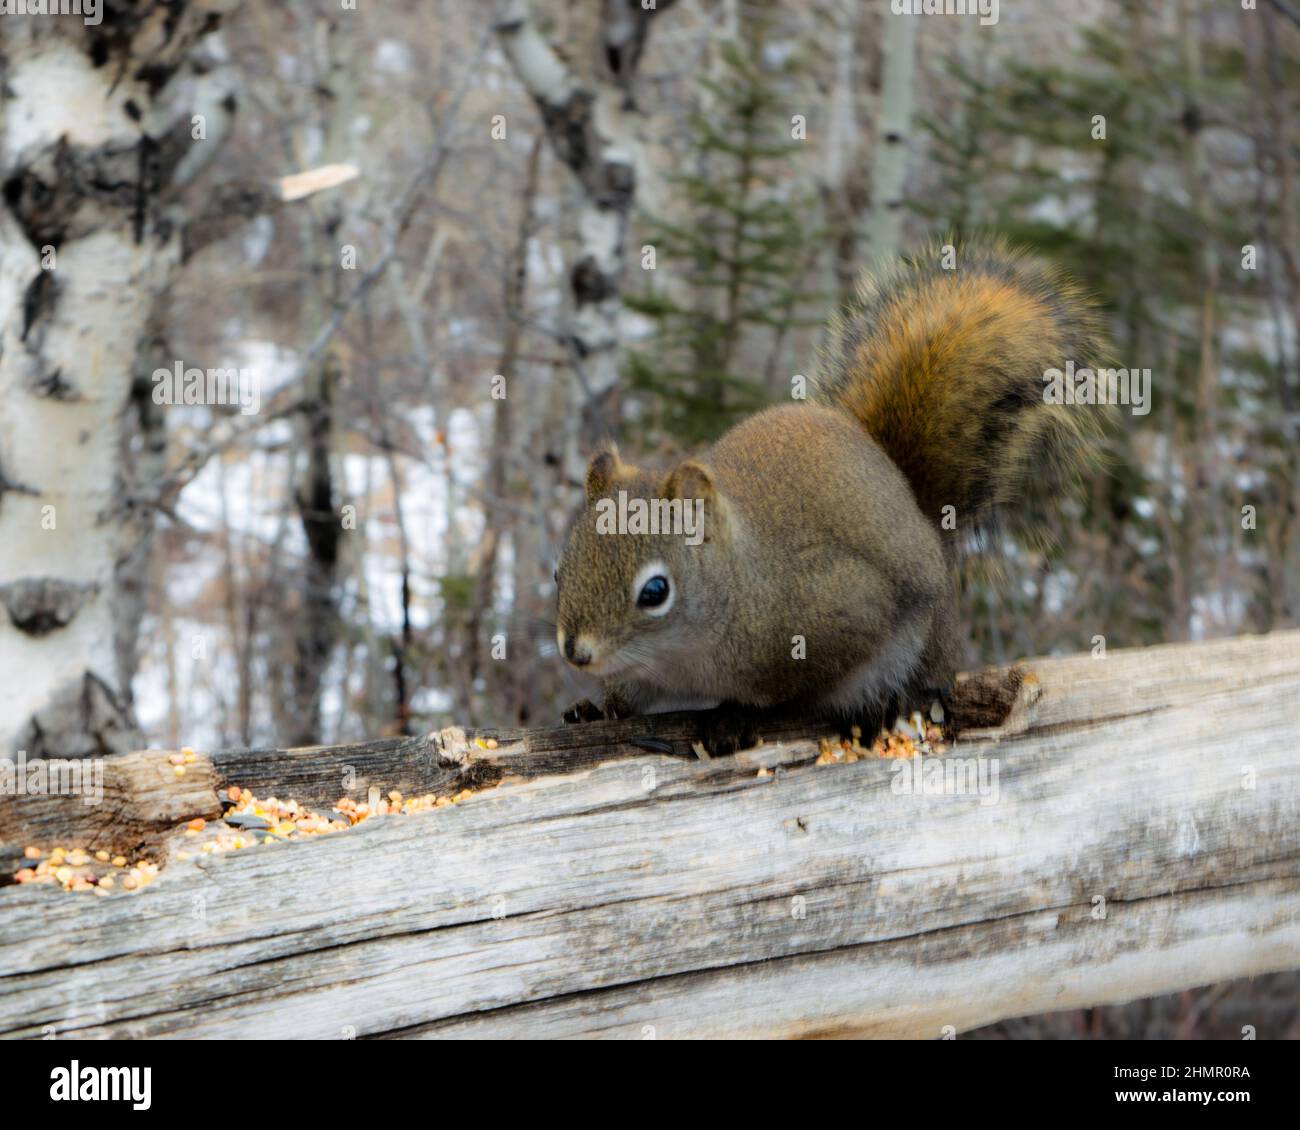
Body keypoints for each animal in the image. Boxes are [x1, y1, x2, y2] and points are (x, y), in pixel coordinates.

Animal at [554, 239, 1108, 753]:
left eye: (655, 591)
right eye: (561, 568)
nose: (576, 653)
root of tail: (913, 502)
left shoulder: (836, 612)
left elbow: (789, 692)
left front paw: (737, 716)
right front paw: (597, 710)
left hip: (924, 643)